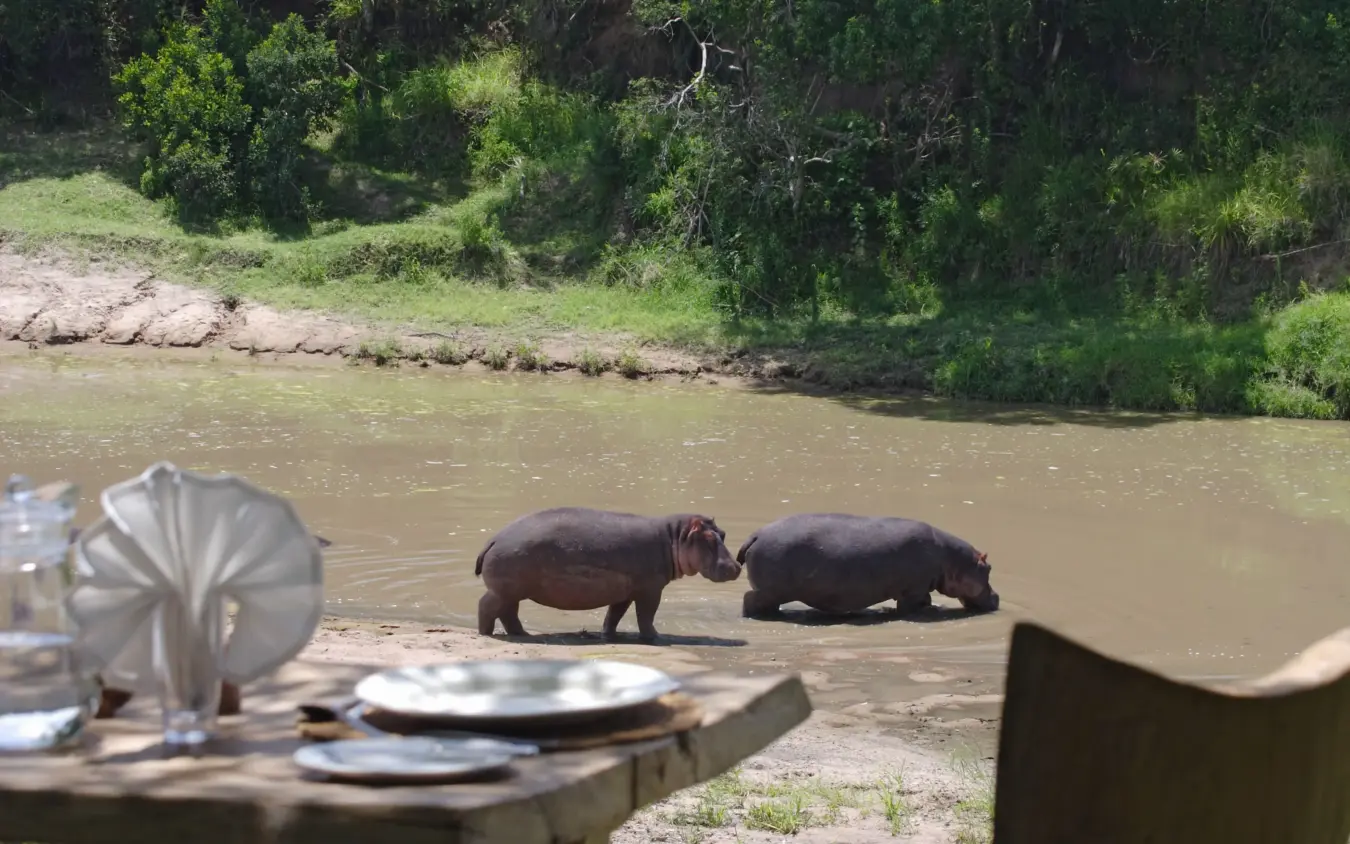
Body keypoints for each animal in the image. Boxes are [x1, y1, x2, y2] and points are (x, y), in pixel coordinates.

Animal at [475, 506, 743, 641]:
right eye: (709, 538)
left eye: (723, 533)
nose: (737, 566)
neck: (674, 537)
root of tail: (493, 539)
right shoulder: (650, 590)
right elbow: (646, 616)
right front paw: (656, 637)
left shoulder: (626, 590)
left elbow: (614, 615)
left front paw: (608, 635)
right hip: (503, 590)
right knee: (486, 606)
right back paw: (486, 633)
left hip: (512, 592)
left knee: (509, 613)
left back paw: (522, 633)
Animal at [736, 513, 1000, 618]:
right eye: (988, 568)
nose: (997, 597)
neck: (950, 559)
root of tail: (756, 535)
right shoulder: (915, 589)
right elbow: (917, 604)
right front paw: (934, 610)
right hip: (769, 591)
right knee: (750, 600)